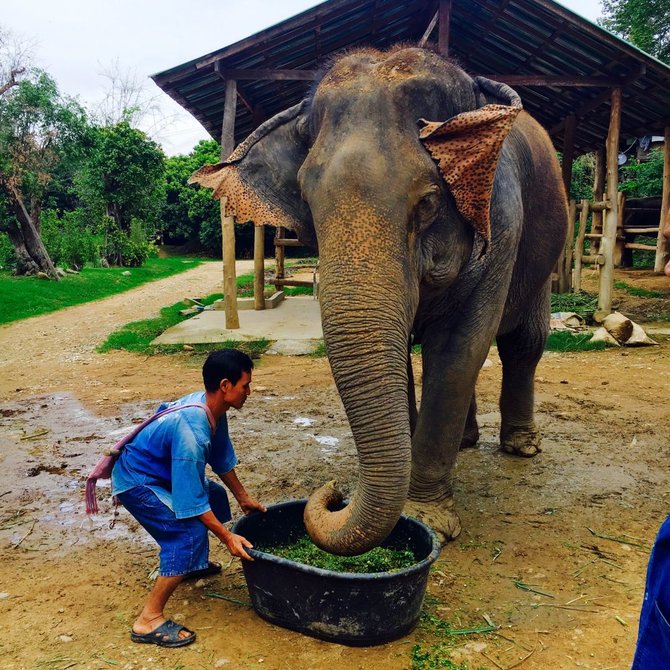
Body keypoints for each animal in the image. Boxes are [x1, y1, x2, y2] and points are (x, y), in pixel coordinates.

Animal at [192, 47, 568, 560]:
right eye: (307, 199)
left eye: (429, 201)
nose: (334, 491)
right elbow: (407, 357)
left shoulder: (503, 221)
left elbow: (458, 348)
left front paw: (426, 519)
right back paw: (468, 442)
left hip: (546, 250)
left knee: (523, 344)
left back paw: (522, 448)